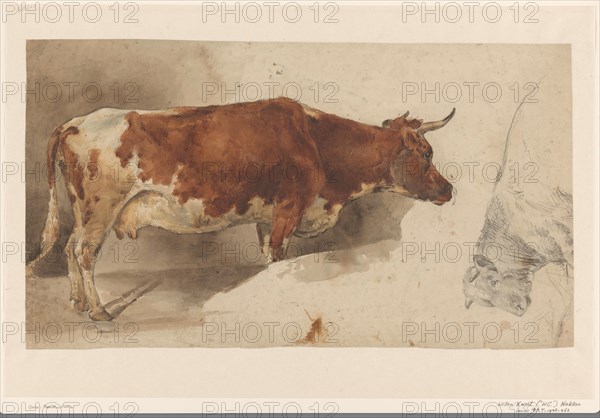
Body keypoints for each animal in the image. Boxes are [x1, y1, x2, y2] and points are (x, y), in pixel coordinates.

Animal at [25, 98, 452, 320]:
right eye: (427, 154)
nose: (449, 189)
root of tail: (77, 121)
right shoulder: (288, 211)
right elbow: (278, 258)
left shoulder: (267, 218)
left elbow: (267, 259)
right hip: (100, 207)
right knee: (83, 253)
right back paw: (99, 311)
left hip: (82, 209)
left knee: (68, 248)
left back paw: (78, 303)